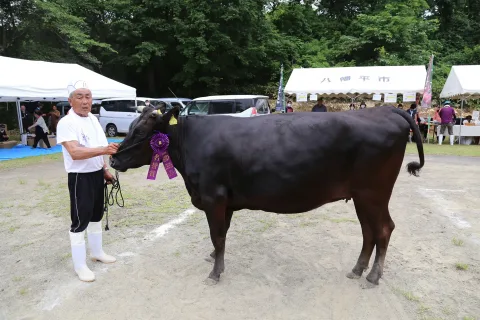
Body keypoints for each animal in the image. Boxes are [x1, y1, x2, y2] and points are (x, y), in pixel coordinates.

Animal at [111, 105, 424, 284]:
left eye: (140, 132)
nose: (113, 159)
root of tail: (384, 110)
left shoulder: (213, 197)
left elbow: (217, 235)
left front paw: (215, 273)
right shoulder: (225, 202)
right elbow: (221, 234)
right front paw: (214, 259)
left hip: (374, 193)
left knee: (383, 229)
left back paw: (373, 275)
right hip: (362, 196)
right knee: (369, 232)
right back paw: (358, 269)